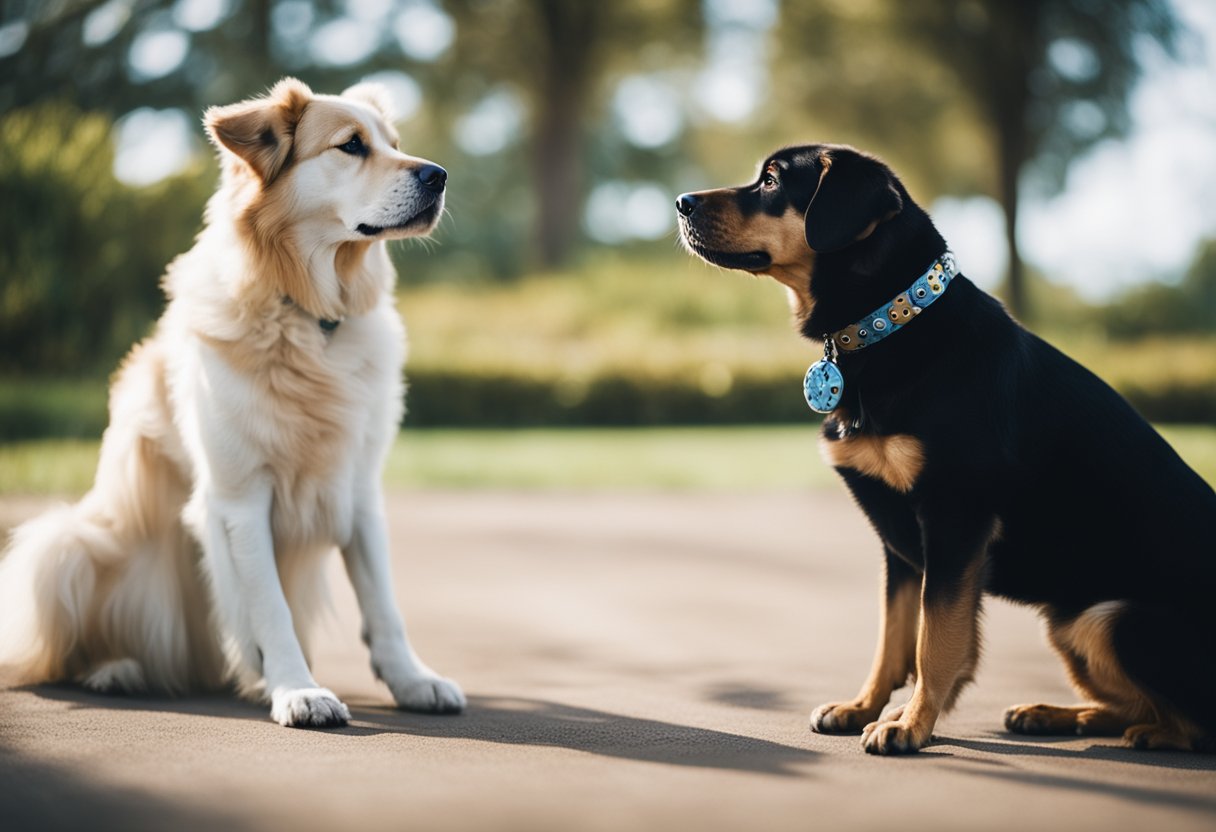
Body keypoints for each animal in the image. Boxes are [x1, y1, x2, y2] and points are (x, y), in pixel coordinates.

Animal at [0, 79, 464, 729]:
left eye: (395, 144)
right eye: (351, 145)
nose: (440, 175)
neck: (311, 320)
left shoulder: (359, 490)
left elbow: (384, 605)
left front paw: (412, 680)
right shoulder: (240, 499)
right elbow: (270, 607)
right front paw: (297, 689)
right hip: (62, 545)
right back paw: (120, 668)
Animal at [676, 145, 1216, 759]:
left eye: (771, 181)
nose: (681, 203)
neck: (887, 324)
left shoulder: (953, 519)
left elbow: (935, 638)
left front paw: (911, 724)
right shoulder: (901, 540)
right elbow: (893, 637)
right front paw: (864, 706)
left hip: (1110, 619)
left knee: (1193, 722)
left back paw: (1147, 733)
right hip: (1070, 623)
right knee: (1133, 705)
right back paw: (1052, 714)